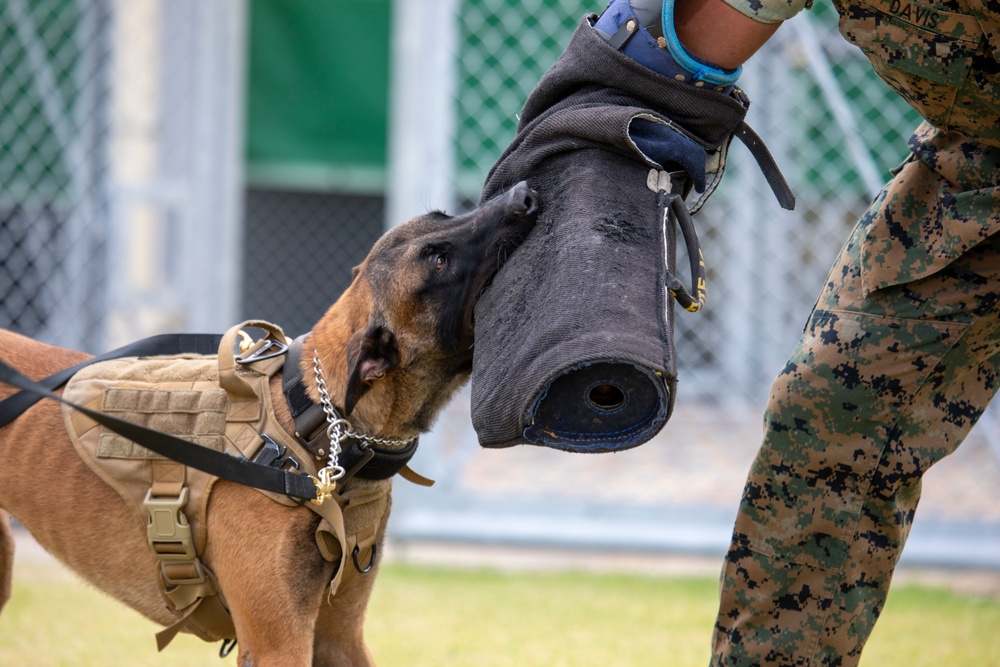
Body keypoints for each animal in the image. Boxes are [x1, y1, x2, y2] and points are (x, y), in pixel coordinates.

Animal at [0, 180, 540, 664]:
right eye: (438, 260)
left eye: (444, 216)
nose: (526, 194)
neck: (313, 427)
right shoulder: (279, 643)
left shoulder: (338, 638)